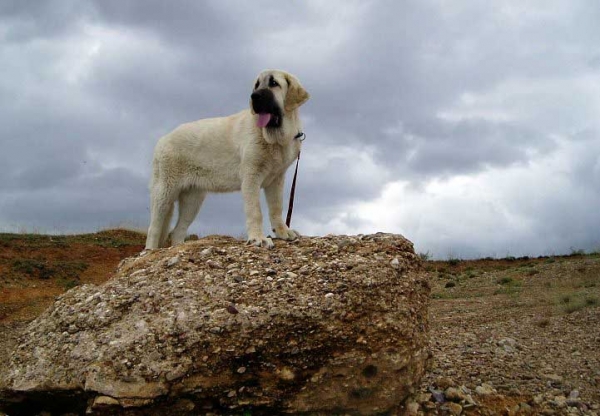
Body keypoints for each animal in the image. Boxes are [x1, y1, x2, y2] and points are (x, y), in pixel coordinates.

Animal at [145, 69, 310, 249]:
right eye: (257, 85)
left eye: (274, 83)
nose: (254, 97)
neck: (274, 139)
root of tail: (163, 139)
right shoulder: (251, 178)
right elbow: (255, 211)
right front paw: (258, 238)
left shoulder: (276, 180)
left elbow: (276, 208)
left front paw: (282, 232)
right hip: (165, 192)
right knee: (154, 227)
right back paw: (149, 250)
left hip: (193, 200)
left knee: (178, 230)